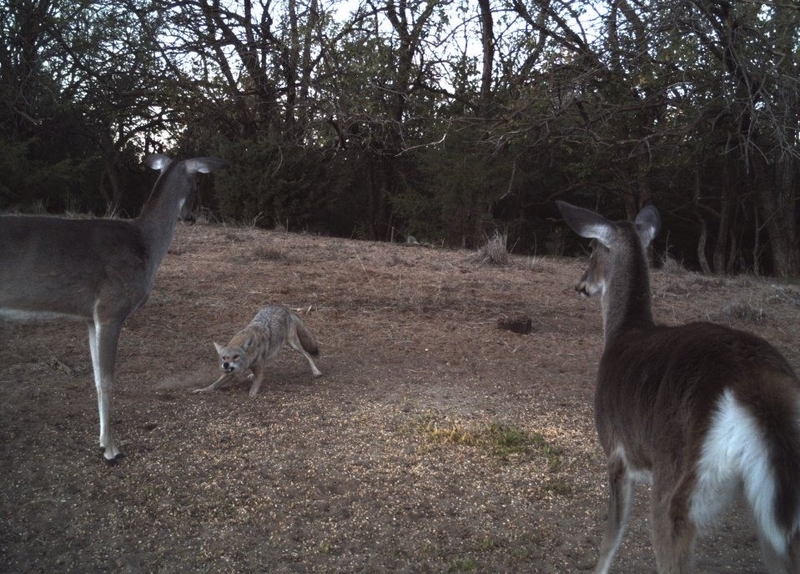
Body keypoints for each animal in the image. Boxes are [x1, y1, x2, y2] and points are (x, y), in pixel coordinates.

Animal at [0, 154, 225, 464]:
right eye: (197, 184)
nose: (192, 216)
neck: (145, 245)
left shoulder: (90, 318)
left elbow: (96, 377)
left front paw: (101, 441)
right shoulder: (111, 309)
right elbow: (107, 380)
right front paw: (111, 449)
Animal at [556, 200, 800, 572]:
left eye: (593, 250)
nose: (580, 285)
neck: (623, 332)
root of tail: (754, 383)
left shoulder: (616, 449)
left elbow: (611, 538)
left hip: (676, 479)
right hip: (774, 508)